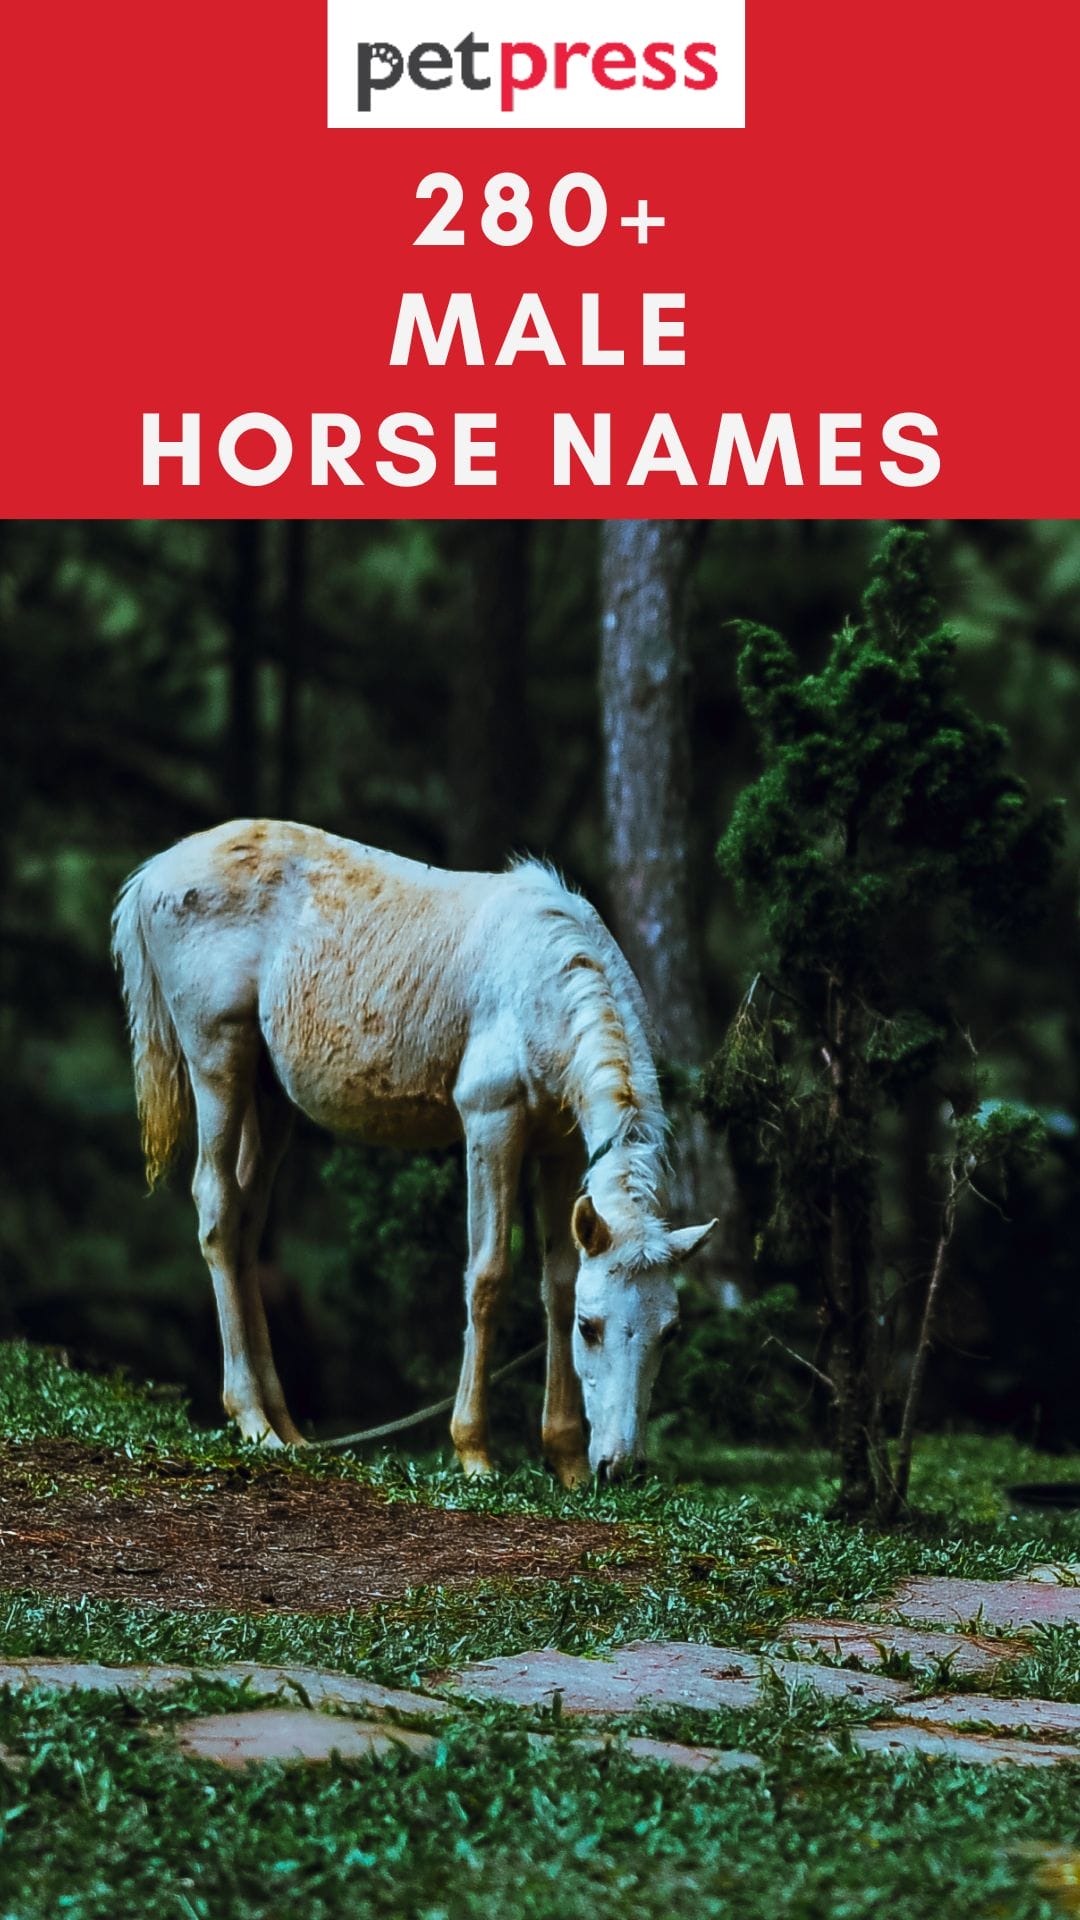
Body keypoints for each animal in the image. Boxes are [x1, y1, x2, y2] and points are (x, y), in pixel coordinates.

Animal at [111, 819, 716, 1484]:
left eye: (671, 1331)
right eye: (593, 1327)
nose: (620, 1467)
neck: (545, 984)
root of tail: (155, 872)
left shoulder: (558, 1148)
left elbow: (556, 1282)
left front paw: (565, 1461)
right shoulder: (491, 1121)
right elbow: (488, 1275)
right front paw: (474, 1452)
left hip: (271, 1097)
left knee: (247, 1223)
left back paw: (288, 1430)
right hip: (218, 1055)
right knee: (216, 1208)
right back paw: (251, 1420)